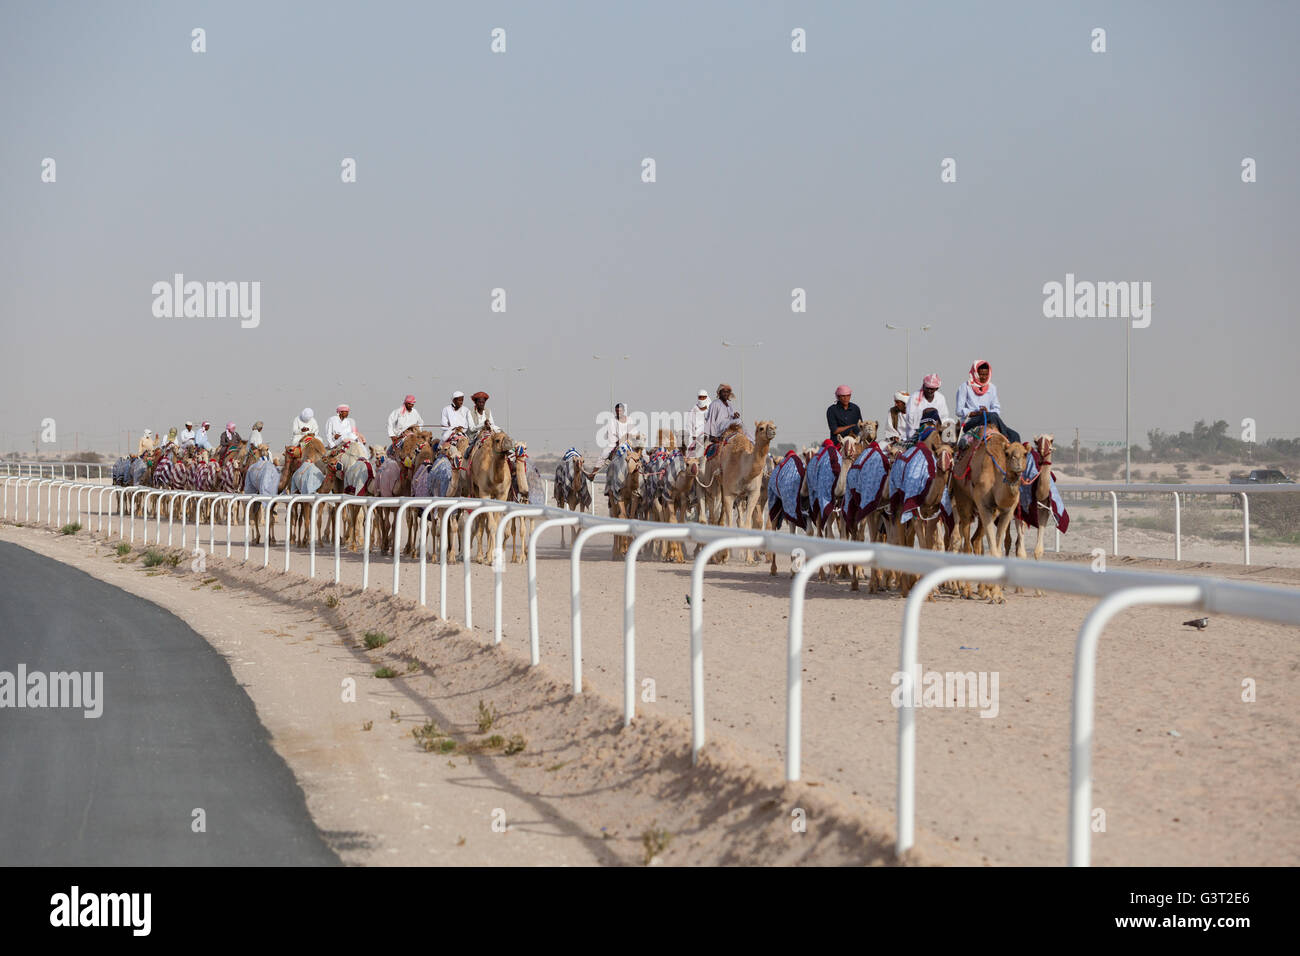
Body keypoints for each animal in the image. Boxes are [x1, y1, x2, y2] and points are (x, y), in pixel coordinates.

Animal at [702, 421, 769, 564]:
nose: (771, 431)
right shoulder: (730, 493)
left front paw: (750, 558)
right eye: (761, 428)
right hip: (713, 484)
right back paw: (714, 557)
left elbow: (748, 523)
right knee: (713, 514)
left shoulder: (753, 494)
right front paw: (725, 557)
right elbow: (730, 523)